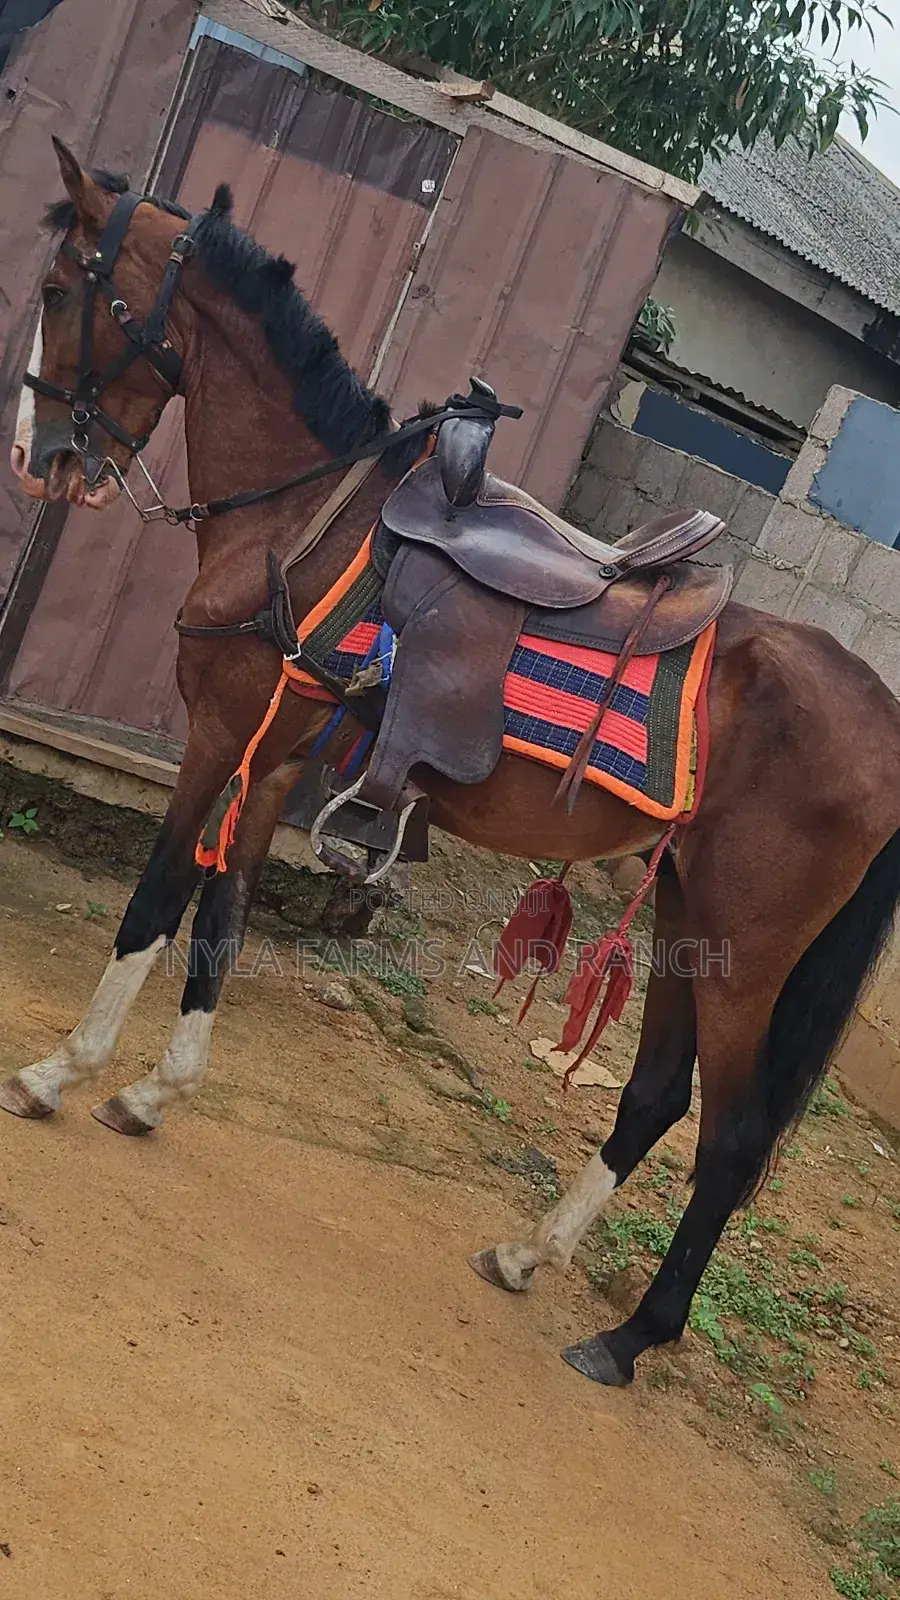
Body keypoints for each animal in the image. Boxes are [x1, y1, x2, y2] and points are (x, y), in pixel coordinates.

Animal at [5, 136, 900, 1391]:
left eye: (57, 289)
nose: (38, 458)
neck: (306, 516)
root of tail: (879, 710)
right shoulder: (271, 762)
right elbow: (222, 917)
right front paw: (152, 1090)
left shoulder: (223, 737)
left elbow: (158, 898)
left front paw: (62, 1070)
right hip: (686, 904)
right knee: (655, 1094)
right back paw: (528, 1254)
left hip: (752, 945)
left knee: (729, 1137)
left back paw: (629, 1336)